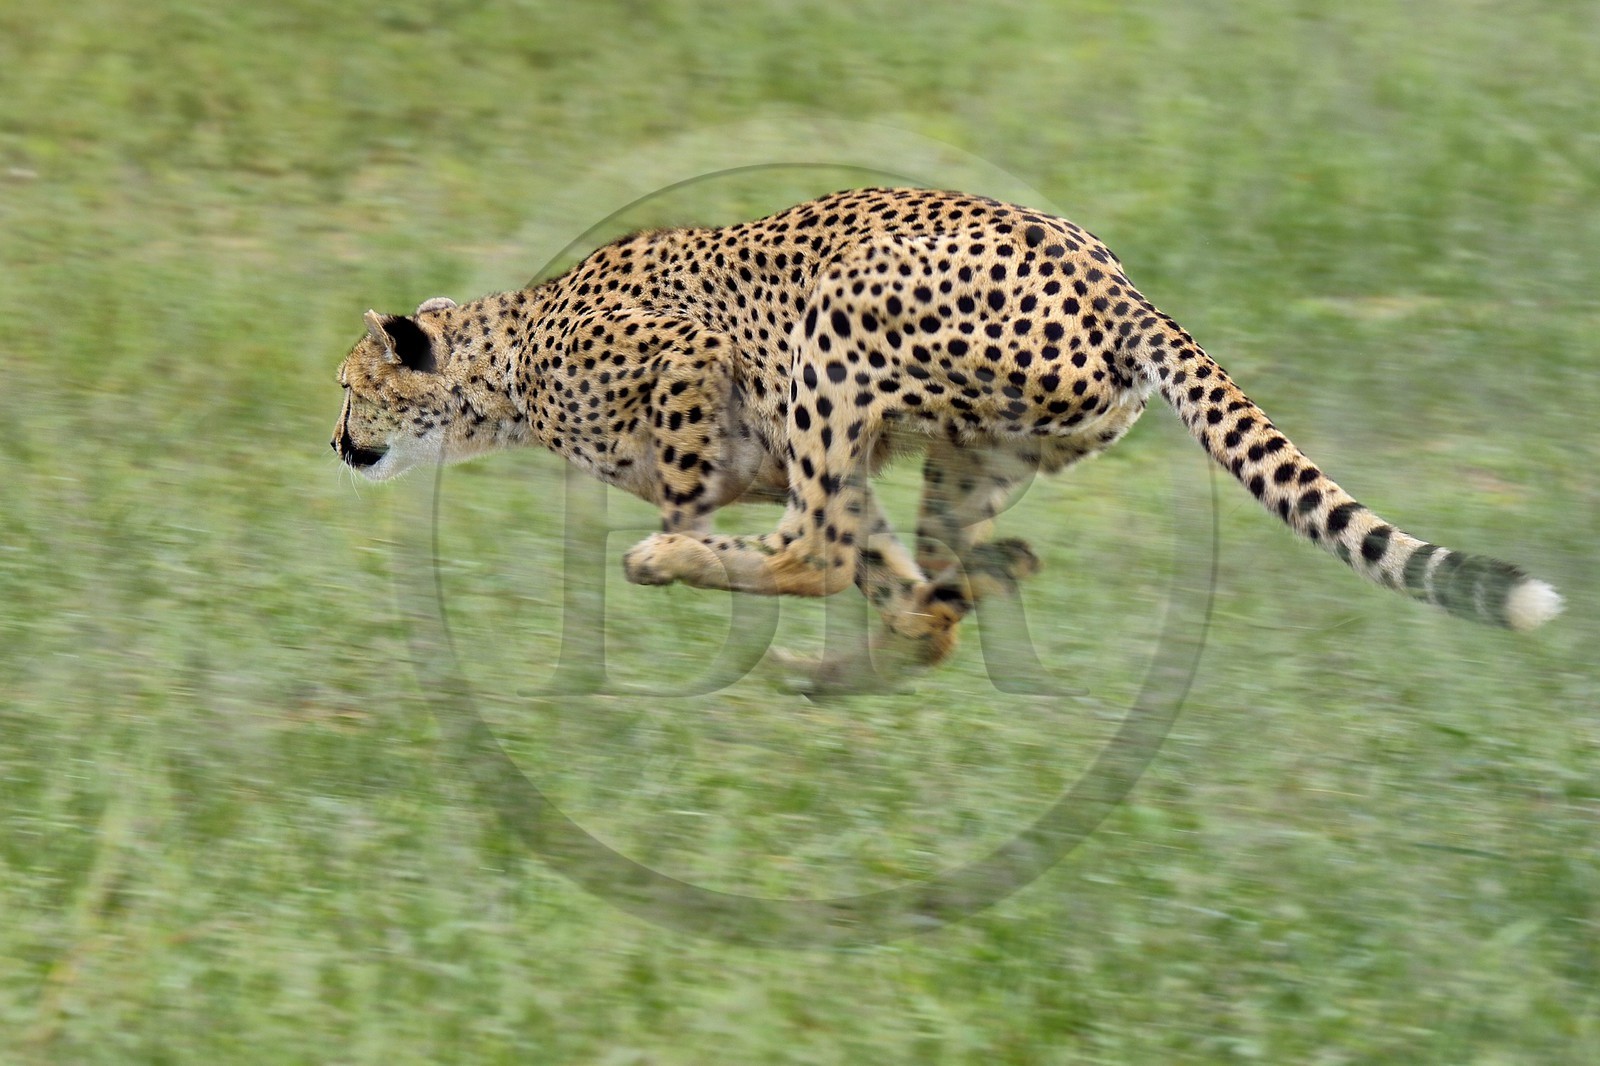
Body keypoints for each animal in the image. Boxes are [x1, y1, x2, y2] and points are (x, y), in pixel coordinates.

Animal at [332, 187, 1561, 682]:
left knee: (815, 553)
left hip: (832, 330)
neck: (503, 367)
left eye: (350, 388)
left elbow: (746, 509)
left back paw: (684, 567)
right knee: (906, 572)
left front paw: (680, 541)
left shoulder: (696, 361)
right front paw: (920, 616)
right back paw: (929, 612)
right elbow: (880, 564)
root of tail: (1120, 281)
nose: (336, 447)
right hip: (975, 446)